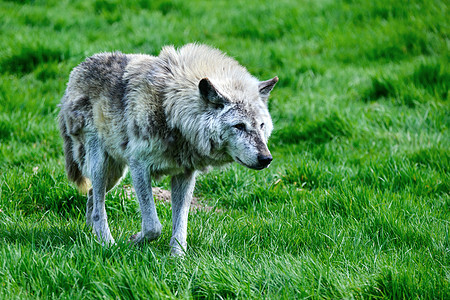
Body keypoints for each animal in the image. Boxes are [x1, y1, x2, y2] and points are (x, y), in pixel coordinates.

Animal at [59, 44, 278, 255]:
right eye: (239, 126)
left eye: (261, 125)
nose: (266, 158)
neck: (171, 109)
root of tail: (79, 68)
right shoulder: (139, 167)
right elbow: (153, 226)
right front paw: (132, 241)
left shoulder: (185, 173)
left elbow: (180, 224)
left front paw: (177, 258)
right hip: (101, 166)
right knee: (98, 206)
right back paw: (108, 244)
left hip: (114, 175)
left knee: (91, 196)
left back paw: (91, 235)